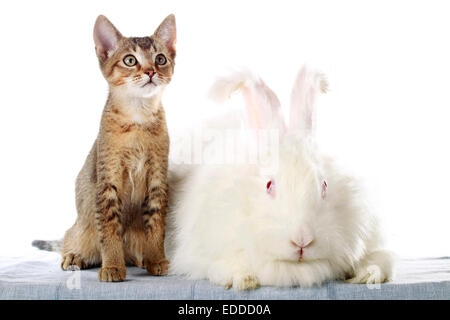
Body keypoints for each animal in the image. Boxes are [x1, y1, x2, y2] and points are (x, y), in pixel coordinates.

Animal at [33, 14, 177, 282]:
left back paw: (140, 259)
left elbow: (156, 226)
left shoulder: (157, 181)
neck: (138, 120)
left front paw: (156, 259)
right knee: (71, 240)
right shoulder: (107, 180)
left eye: (160, 59)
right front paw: (112, 267)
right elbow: (109, 229)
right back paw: (74, 257)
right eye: (130, 60)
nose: (151, 71)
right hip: (81, 230)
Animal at [165, 65, 394, 290]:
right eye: (269, 185)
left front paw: (368, 275)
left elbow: (379, 260)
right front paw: (242, 279)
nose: (302, 240)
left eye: (324, 185)